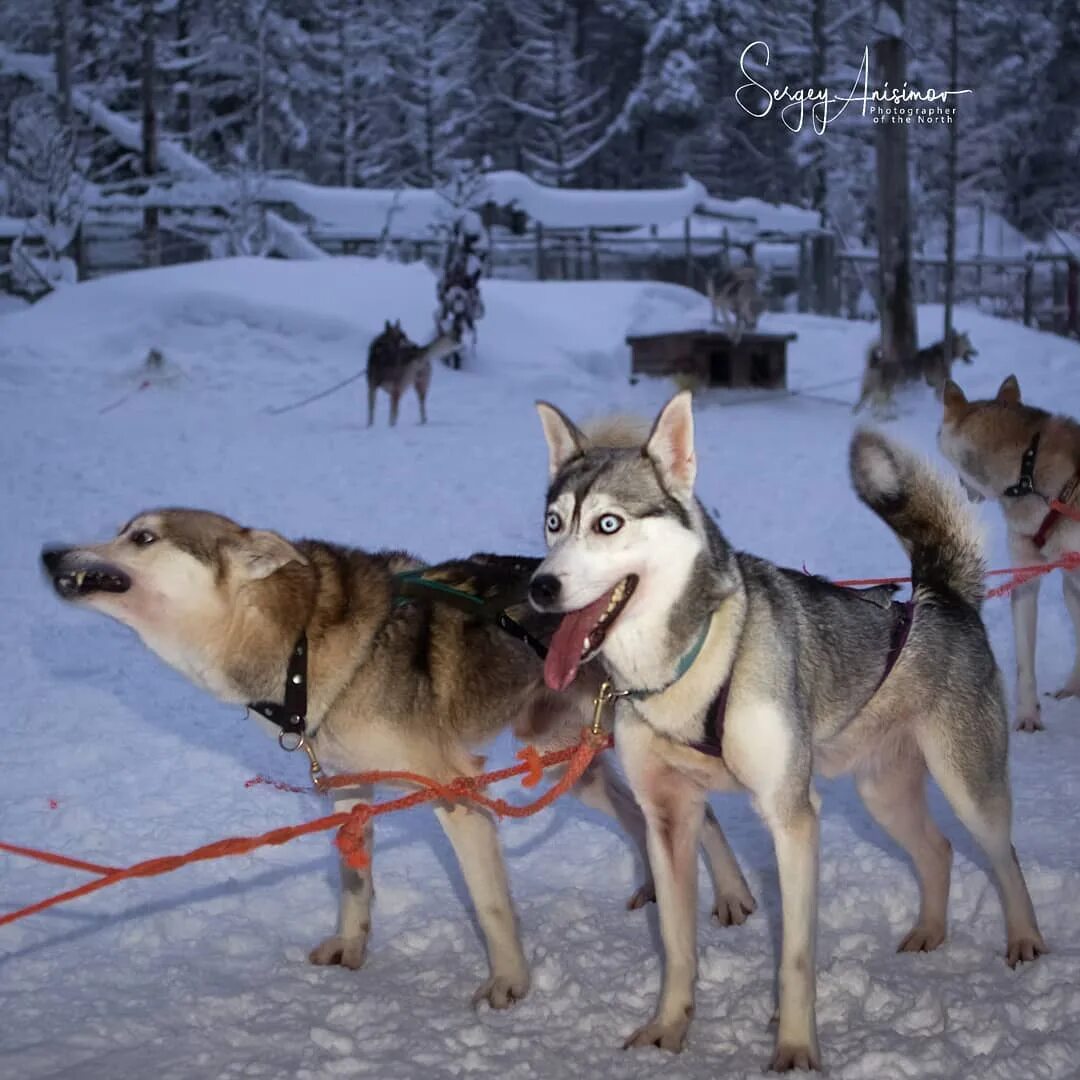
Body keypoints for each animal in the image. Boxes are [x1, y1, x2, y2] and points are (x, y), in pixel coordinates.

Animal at [527, 395, 1041, 1071]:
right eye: (554, 523)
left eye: (607, 524)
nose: (540, 586)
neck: (691, 660)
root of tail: (940, 595)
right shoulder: (667, 819)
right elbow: (676, 945)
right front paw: (668, 1030)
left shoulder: (791, 817)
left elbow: (794, 958)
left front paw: (795, 1048)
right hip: (884, 794)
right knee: (939, 850)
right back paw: (931, 930)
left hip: (967, 783)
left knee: (1003, 855)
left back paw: (1026, 939)